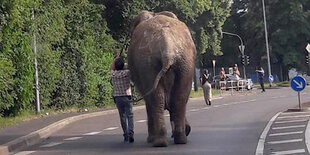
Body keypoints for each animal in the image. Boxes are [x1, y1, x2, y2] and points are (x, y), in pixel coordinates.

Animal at [126, 10, 196, 147]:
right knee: (179, 97)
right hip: (184, 61)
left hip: (148, 63)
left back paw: (159, 141)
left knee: (156, 99)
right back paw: (179, 139)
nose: (188, 129)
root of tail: (167, 46)